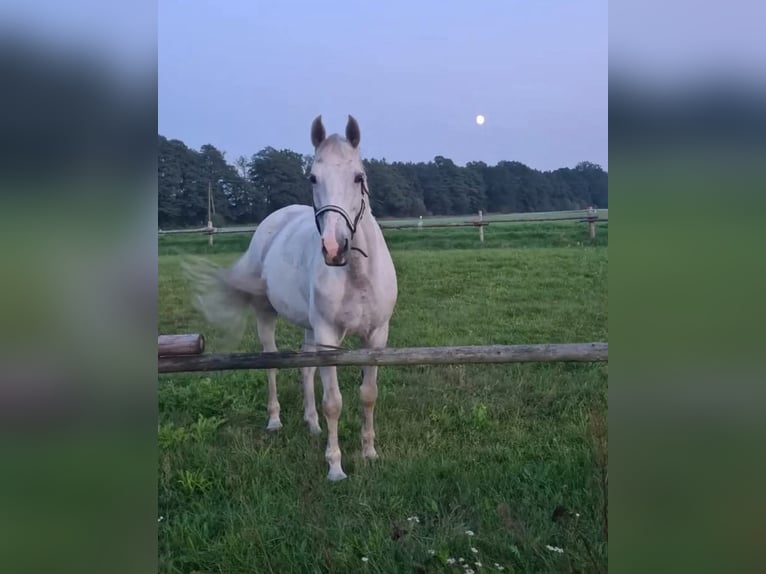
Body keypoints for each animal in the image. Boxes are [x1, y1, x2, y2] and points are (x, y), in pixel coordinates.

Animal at [192, 116, 400, 482]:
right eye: (313, 178)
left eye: (358, 177)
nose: (334, 248)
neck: (357, 273)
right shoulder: (329, 338)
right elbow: (334, 402)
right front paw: (335, 466)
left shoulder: (376, 336)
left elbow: (368, 395)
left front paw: (369, 452)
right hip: (267, 315)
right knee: (272, 362)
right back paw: (275, 420)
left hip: (310, 327)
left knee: (305, 367)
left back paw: (312, 424)